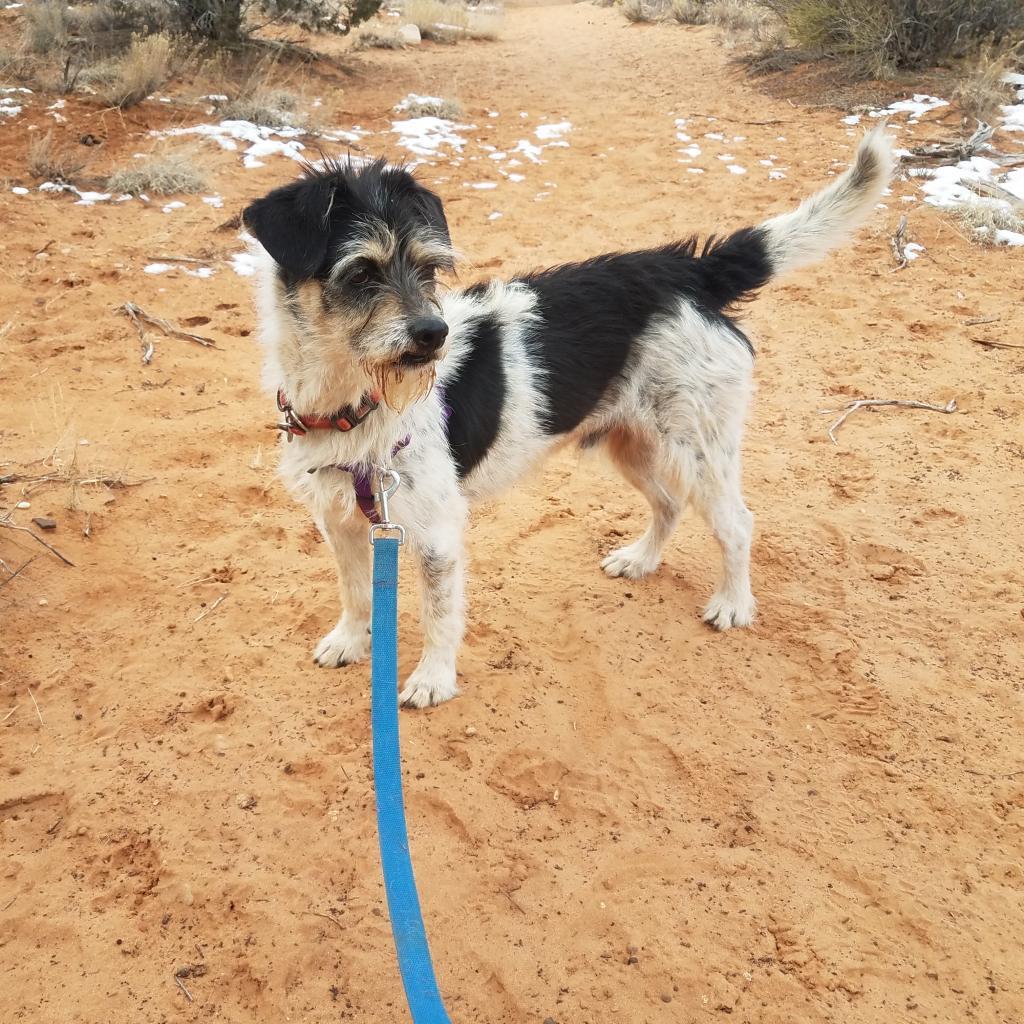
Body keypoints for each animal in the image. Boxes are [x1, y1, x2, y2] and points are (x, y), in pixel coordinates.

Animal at [243, 125, 892, 704]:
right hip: (630, 442)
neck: (350, 404)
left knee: (736, 523)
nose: (435, 335)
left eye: (427, 268)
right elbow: (355, 591)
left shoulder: (435, 531)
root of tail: (688, 271)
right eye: (361, 272)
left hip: (699, 446)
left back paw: (733, 604)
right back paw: (640, 560)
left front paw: (433, 680)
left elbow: (438, 614)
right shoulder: (339, 519)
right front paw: (352, 641)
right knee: (668, 503)